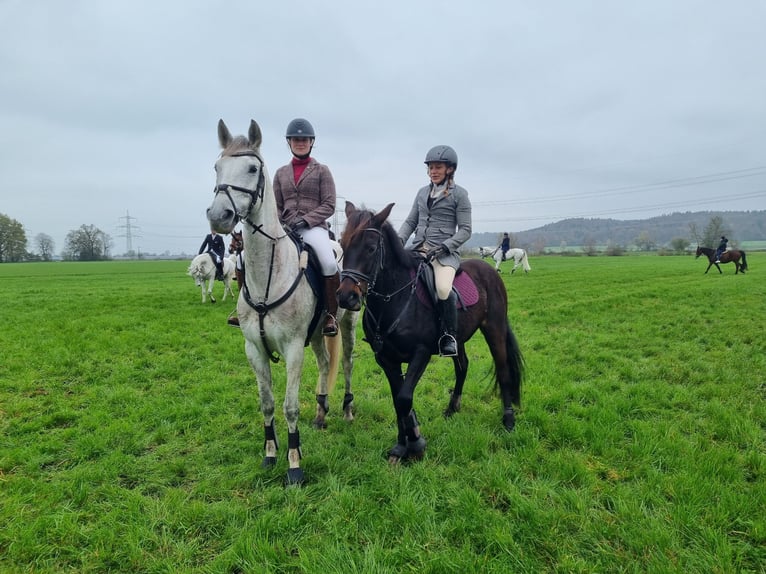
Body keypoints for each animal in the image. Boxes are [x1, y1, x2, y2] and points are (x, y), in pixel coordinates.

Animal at [205, 119, 354, 485]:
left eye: (252, 168)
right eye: (217, 167)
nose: (218, 215)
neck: (267, 278)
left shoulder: (293, 348)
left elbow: (289, 406)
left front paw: (295, 465)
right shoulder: (254, 350)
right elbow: (268, 404)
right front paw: (270, 456)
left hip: (346, 323)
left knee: (345, 364)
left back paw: (346, 409)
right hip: (318, 332)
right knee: (326, 364)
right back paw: (321, 413)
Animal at [337, 201, 524, 464]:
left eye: (371, 248)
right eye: (342, 245)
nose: (347, 297)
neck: (394, 299)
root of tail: (489, 270)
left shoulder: (421, 353)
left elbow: (404, 398)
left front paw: (416, 444)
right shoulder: (386, 359)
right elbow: (397, 400)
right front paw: (401, 446)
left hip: (494, 329)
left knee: (503, 368)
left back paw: (508, 420)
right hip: (457, 339)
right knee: (463, 366)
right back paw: (452, 409)